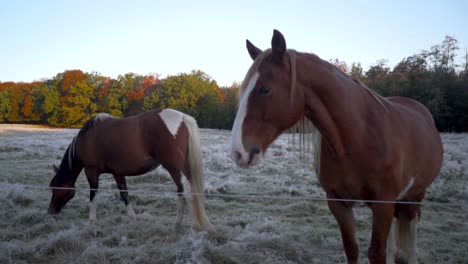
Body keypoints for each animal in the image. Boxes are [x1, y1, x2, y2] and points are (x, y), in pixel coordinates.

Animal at [48, 108, 213, 230]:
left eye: (55, 187)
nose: (51, 211)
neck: (88, 137)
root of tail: (183, 118)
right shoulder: (117, 173)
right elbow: (124, 194)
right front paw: (132, 217)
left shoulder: (91, 171)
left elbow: (93, 194)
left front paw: (92, 219)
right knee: (182, 192)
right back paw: (179, 223)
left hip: (175, 169)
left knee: (186, 192)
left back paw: (191, 225)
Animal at [230, 29, 442, 262]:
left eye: (265, 90)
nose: (237, 152)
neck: (358, 138)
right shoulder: (338, 203)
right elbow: (351, 248)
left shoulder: (383, 204)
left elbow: (376, 253)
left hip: (415, 196)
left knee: (411, 233)